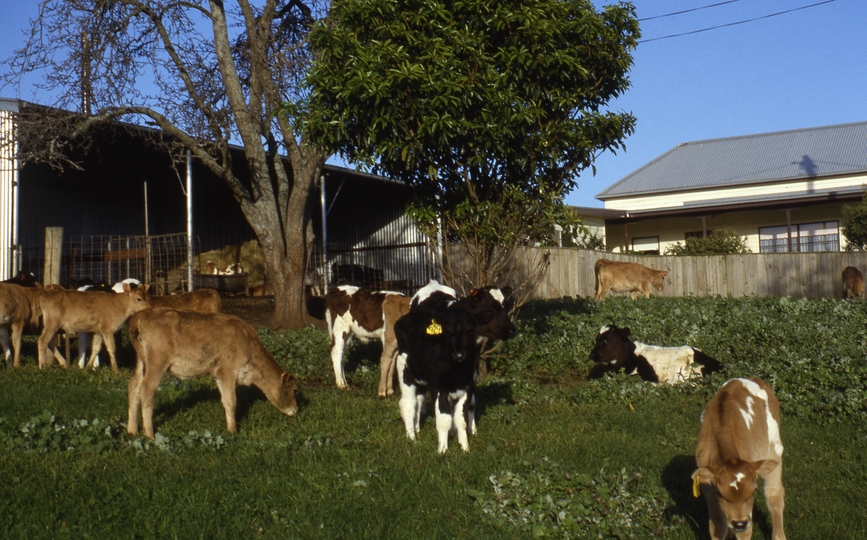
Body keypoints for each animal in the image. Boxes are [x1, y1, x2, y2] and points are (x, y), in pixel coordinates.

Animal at [127, 308, 300, 438]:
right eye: (294, 390)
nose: (296, 410)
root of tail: (140, 315)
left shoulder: (219, 375)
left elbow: (226, 400)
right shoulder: (228, 372)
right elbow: (232, 401)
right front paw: (233, 431)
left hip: (141, 362)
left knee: (134, 386)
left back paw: (132, 430)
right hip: (157, 363)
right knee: (147, 390)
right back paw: (149, 435)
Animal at [692, 378, 788, 540]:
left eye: (753, 491)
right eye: (720, 494)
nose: (739, 524)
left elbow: (745, 533)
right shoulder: (707, 487)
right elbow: (717, 526)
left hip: (774, 448)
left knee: (774, 495)